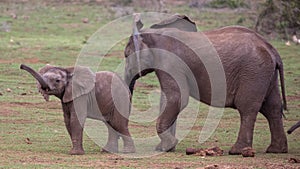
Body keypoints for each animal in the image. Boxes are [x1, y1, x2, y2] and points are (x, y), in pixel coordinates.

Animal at [124, 14, 288, 154]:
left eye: (126, 55)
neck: (150, 34)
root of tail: (272, 50)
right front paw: (165, 147)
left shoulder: (170, 62)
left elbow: (177, 98)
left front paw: (166, 147)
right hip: (266, 74)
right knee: (272, 107)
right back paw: (276, 150)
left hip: (253, 72)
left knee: (247, 108)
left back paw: (237, 151)